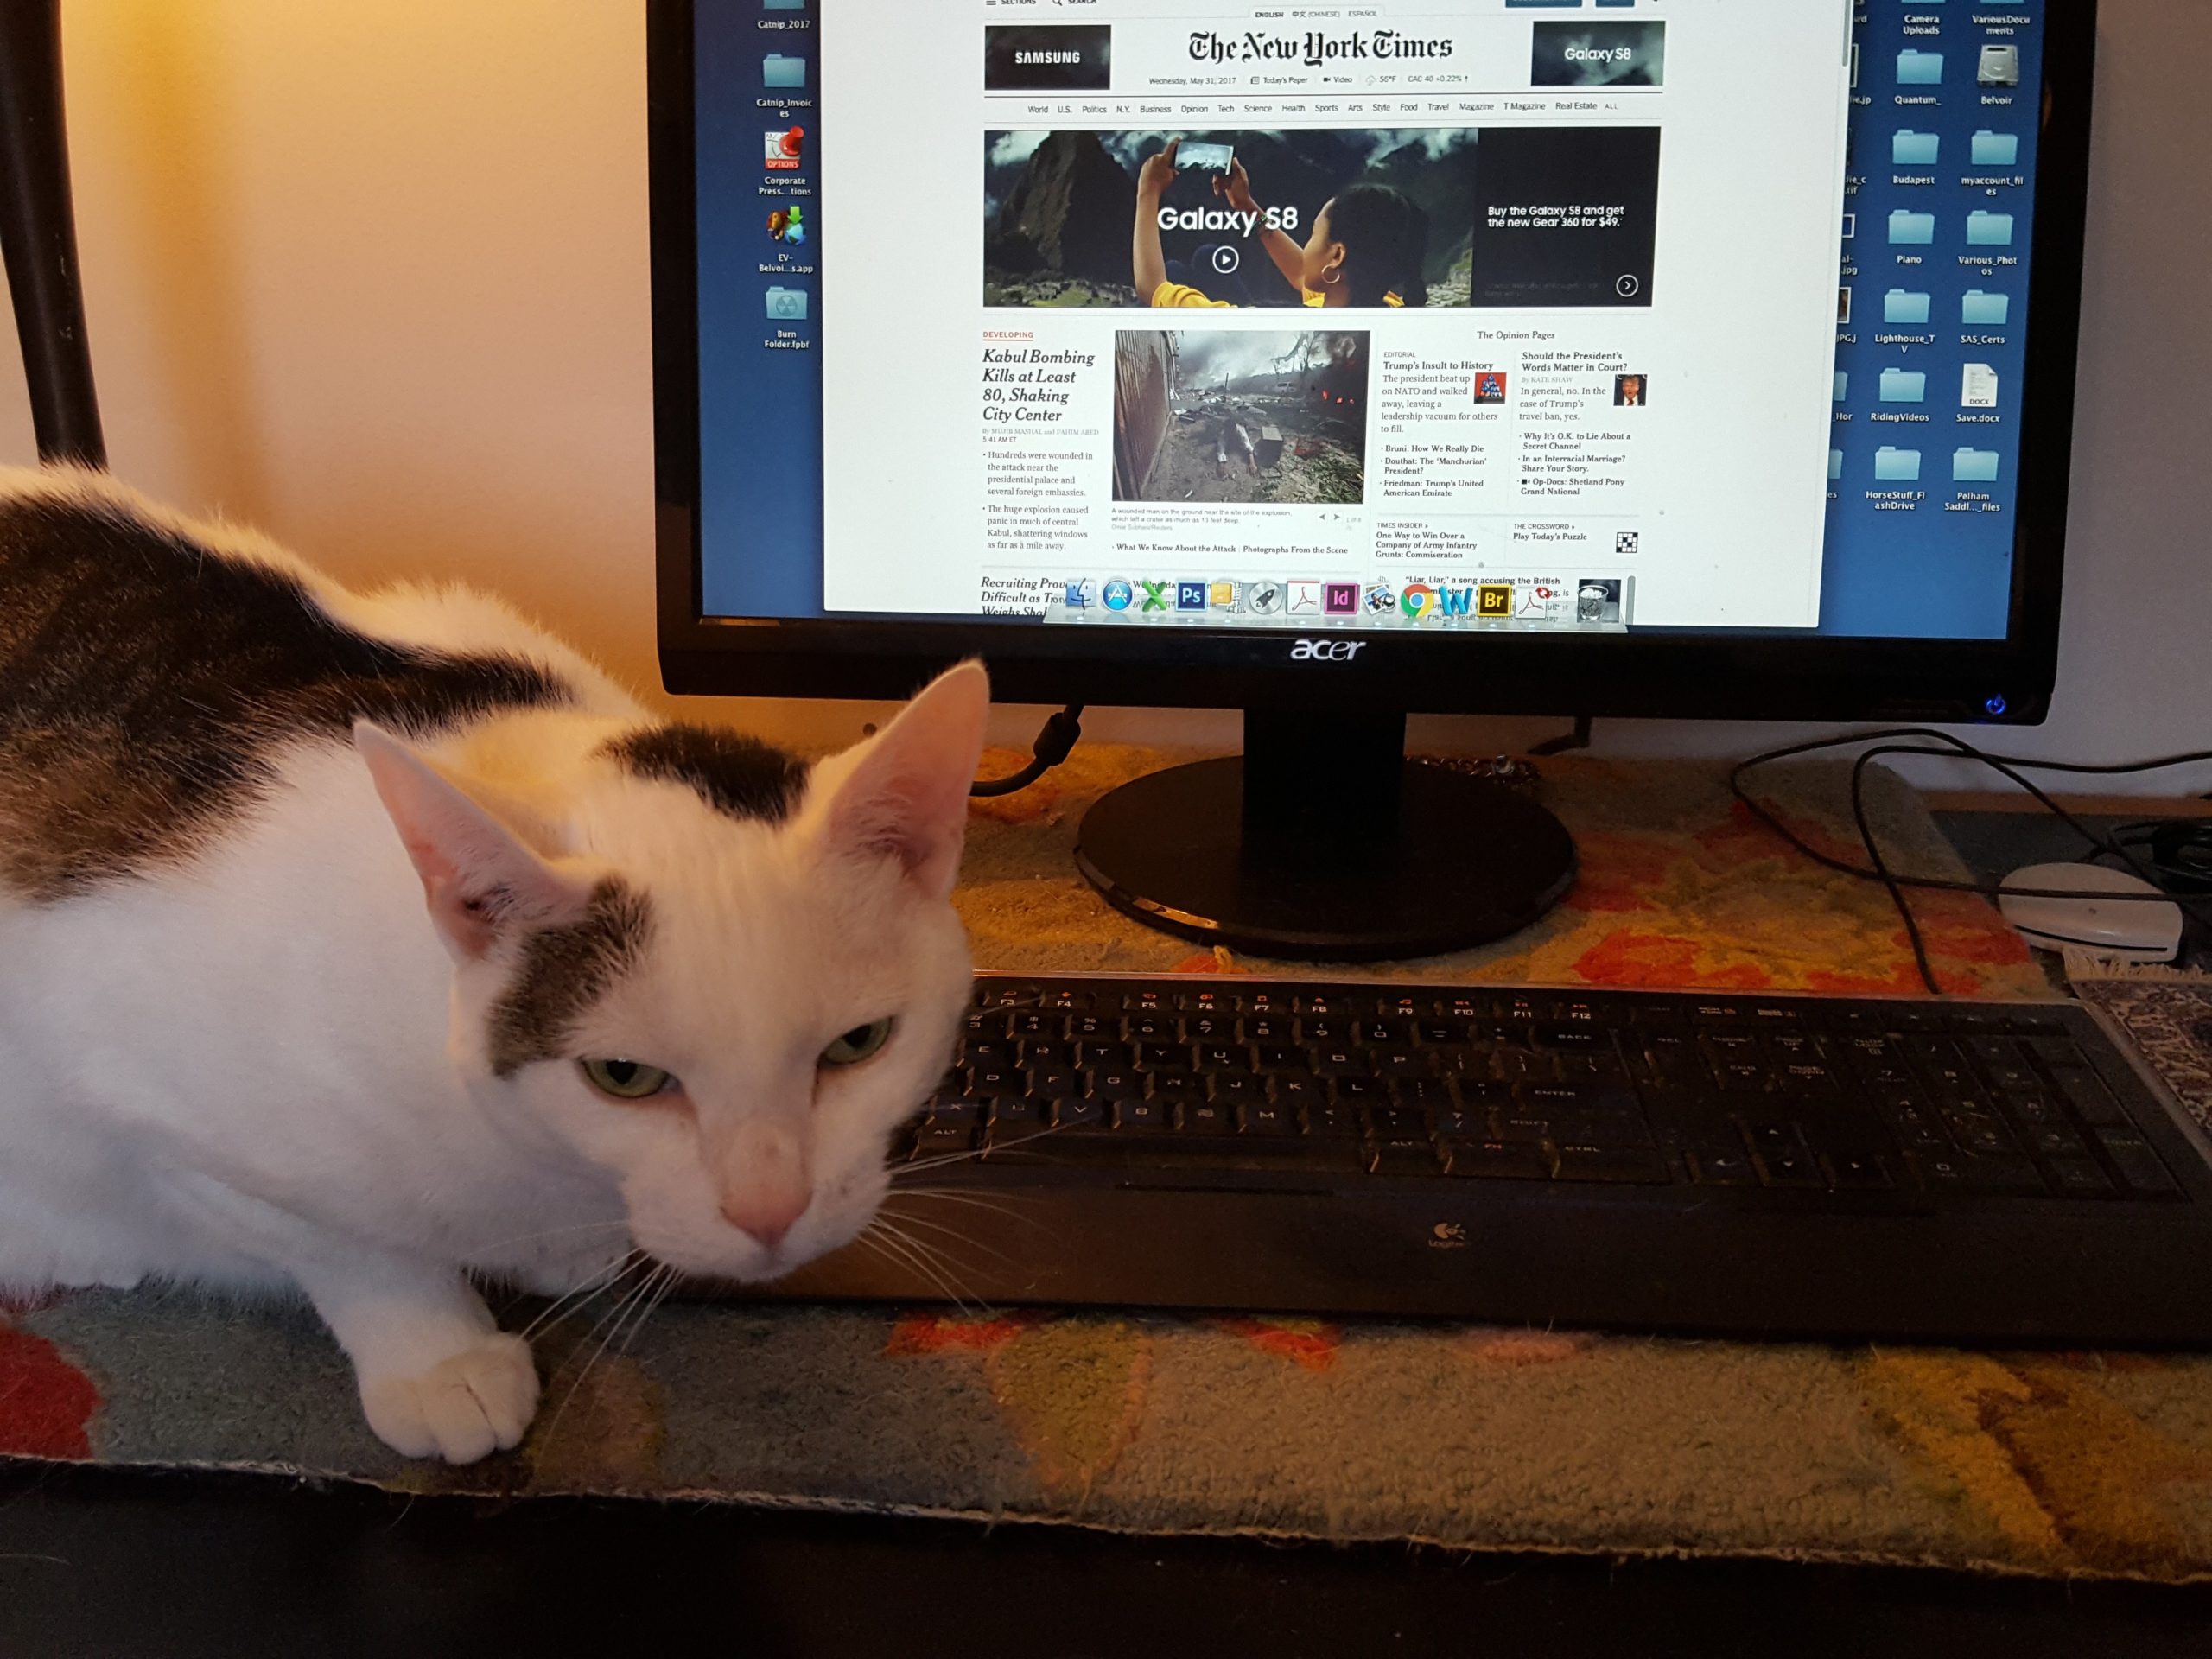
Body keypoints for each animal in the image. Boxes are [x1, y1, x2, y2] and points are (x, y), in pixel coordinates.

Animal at [0, 462, 986, 1459]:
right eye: (622, 1076)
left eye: (860, 1044)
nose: (770, 1216)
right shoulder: (124, 1090)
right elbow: (344, 1247)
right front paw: (440, 1358)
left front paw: (558, 1251)